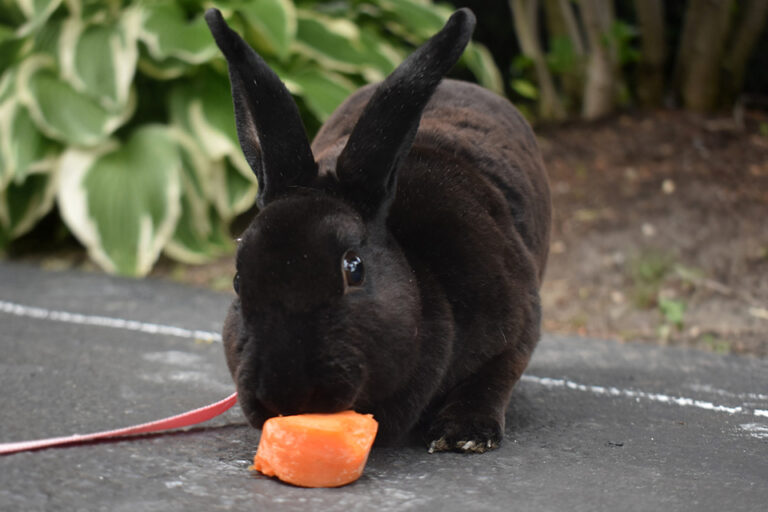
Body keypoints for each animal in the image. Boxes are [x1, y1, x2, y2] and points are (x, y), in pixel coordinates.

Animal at [205, 7, 551, 453]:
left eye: (354, 269)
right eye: (237, 280)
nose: (285, 393)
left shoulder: (519, 328)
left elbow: (495, 377)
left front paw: (463, 434)